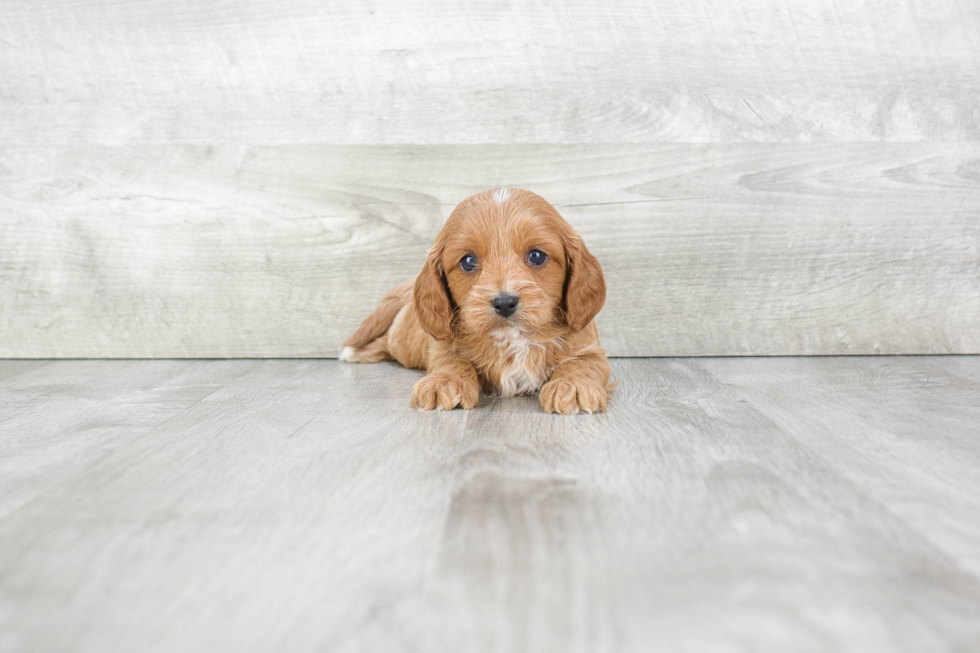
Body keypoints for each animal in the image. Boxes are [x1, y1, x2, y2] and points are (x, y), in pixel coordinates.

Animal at [340, 187, 608, 412]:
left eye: (536, 256)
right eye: (468, 261)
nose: (504, 303)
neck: (512, 338)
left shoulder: (589, 348)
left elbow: (581, 364)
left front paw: (573, 387)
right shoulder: (442, 348)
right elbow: (454, 361)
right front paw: (444, 381)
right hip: (405, 344)